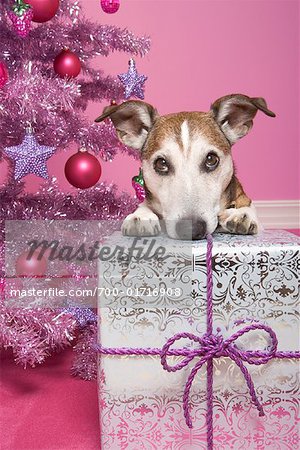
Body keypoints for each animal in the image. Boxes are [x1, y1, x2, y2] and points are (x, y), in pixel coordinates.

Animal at [95, 95, 276, 241]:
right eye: (161, 163)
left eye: (211, 159)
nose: (191, 228)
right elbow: (144, 205)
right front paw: (141, 216)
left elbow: (248, 206)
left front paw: (242, 215)